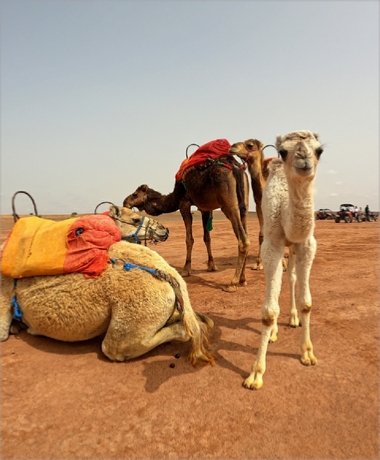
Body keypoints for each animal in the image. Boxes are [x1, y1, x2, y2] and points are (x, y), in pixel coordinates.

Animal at [123, 154, 251, 292]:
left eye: (135, 194)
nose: (125, 202)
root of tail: (236, 167)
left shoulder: (184, 202)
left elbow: (189, 239)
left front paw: (186, 269)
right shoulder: (205, 208)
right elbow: (207, 238)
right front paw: (211, 266)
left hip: (228, 202)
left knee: (243, 240)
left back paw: (233, 283)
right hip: (244, 202)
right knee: (245, 232)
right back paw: (243, 279)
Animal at [243, 131, 324, 390]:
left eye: (319, 150)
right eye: (283, 151)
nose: (303, 158)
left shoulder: (306, 243)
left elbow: (307, 302)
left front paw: (307, 353)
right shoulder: (271, 244)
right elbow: (268, 311)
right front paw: (256, 374)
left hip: (294, 248)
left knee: (291, 278)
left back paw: (293, 318)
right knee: (278, 284)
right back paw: (275, 332)